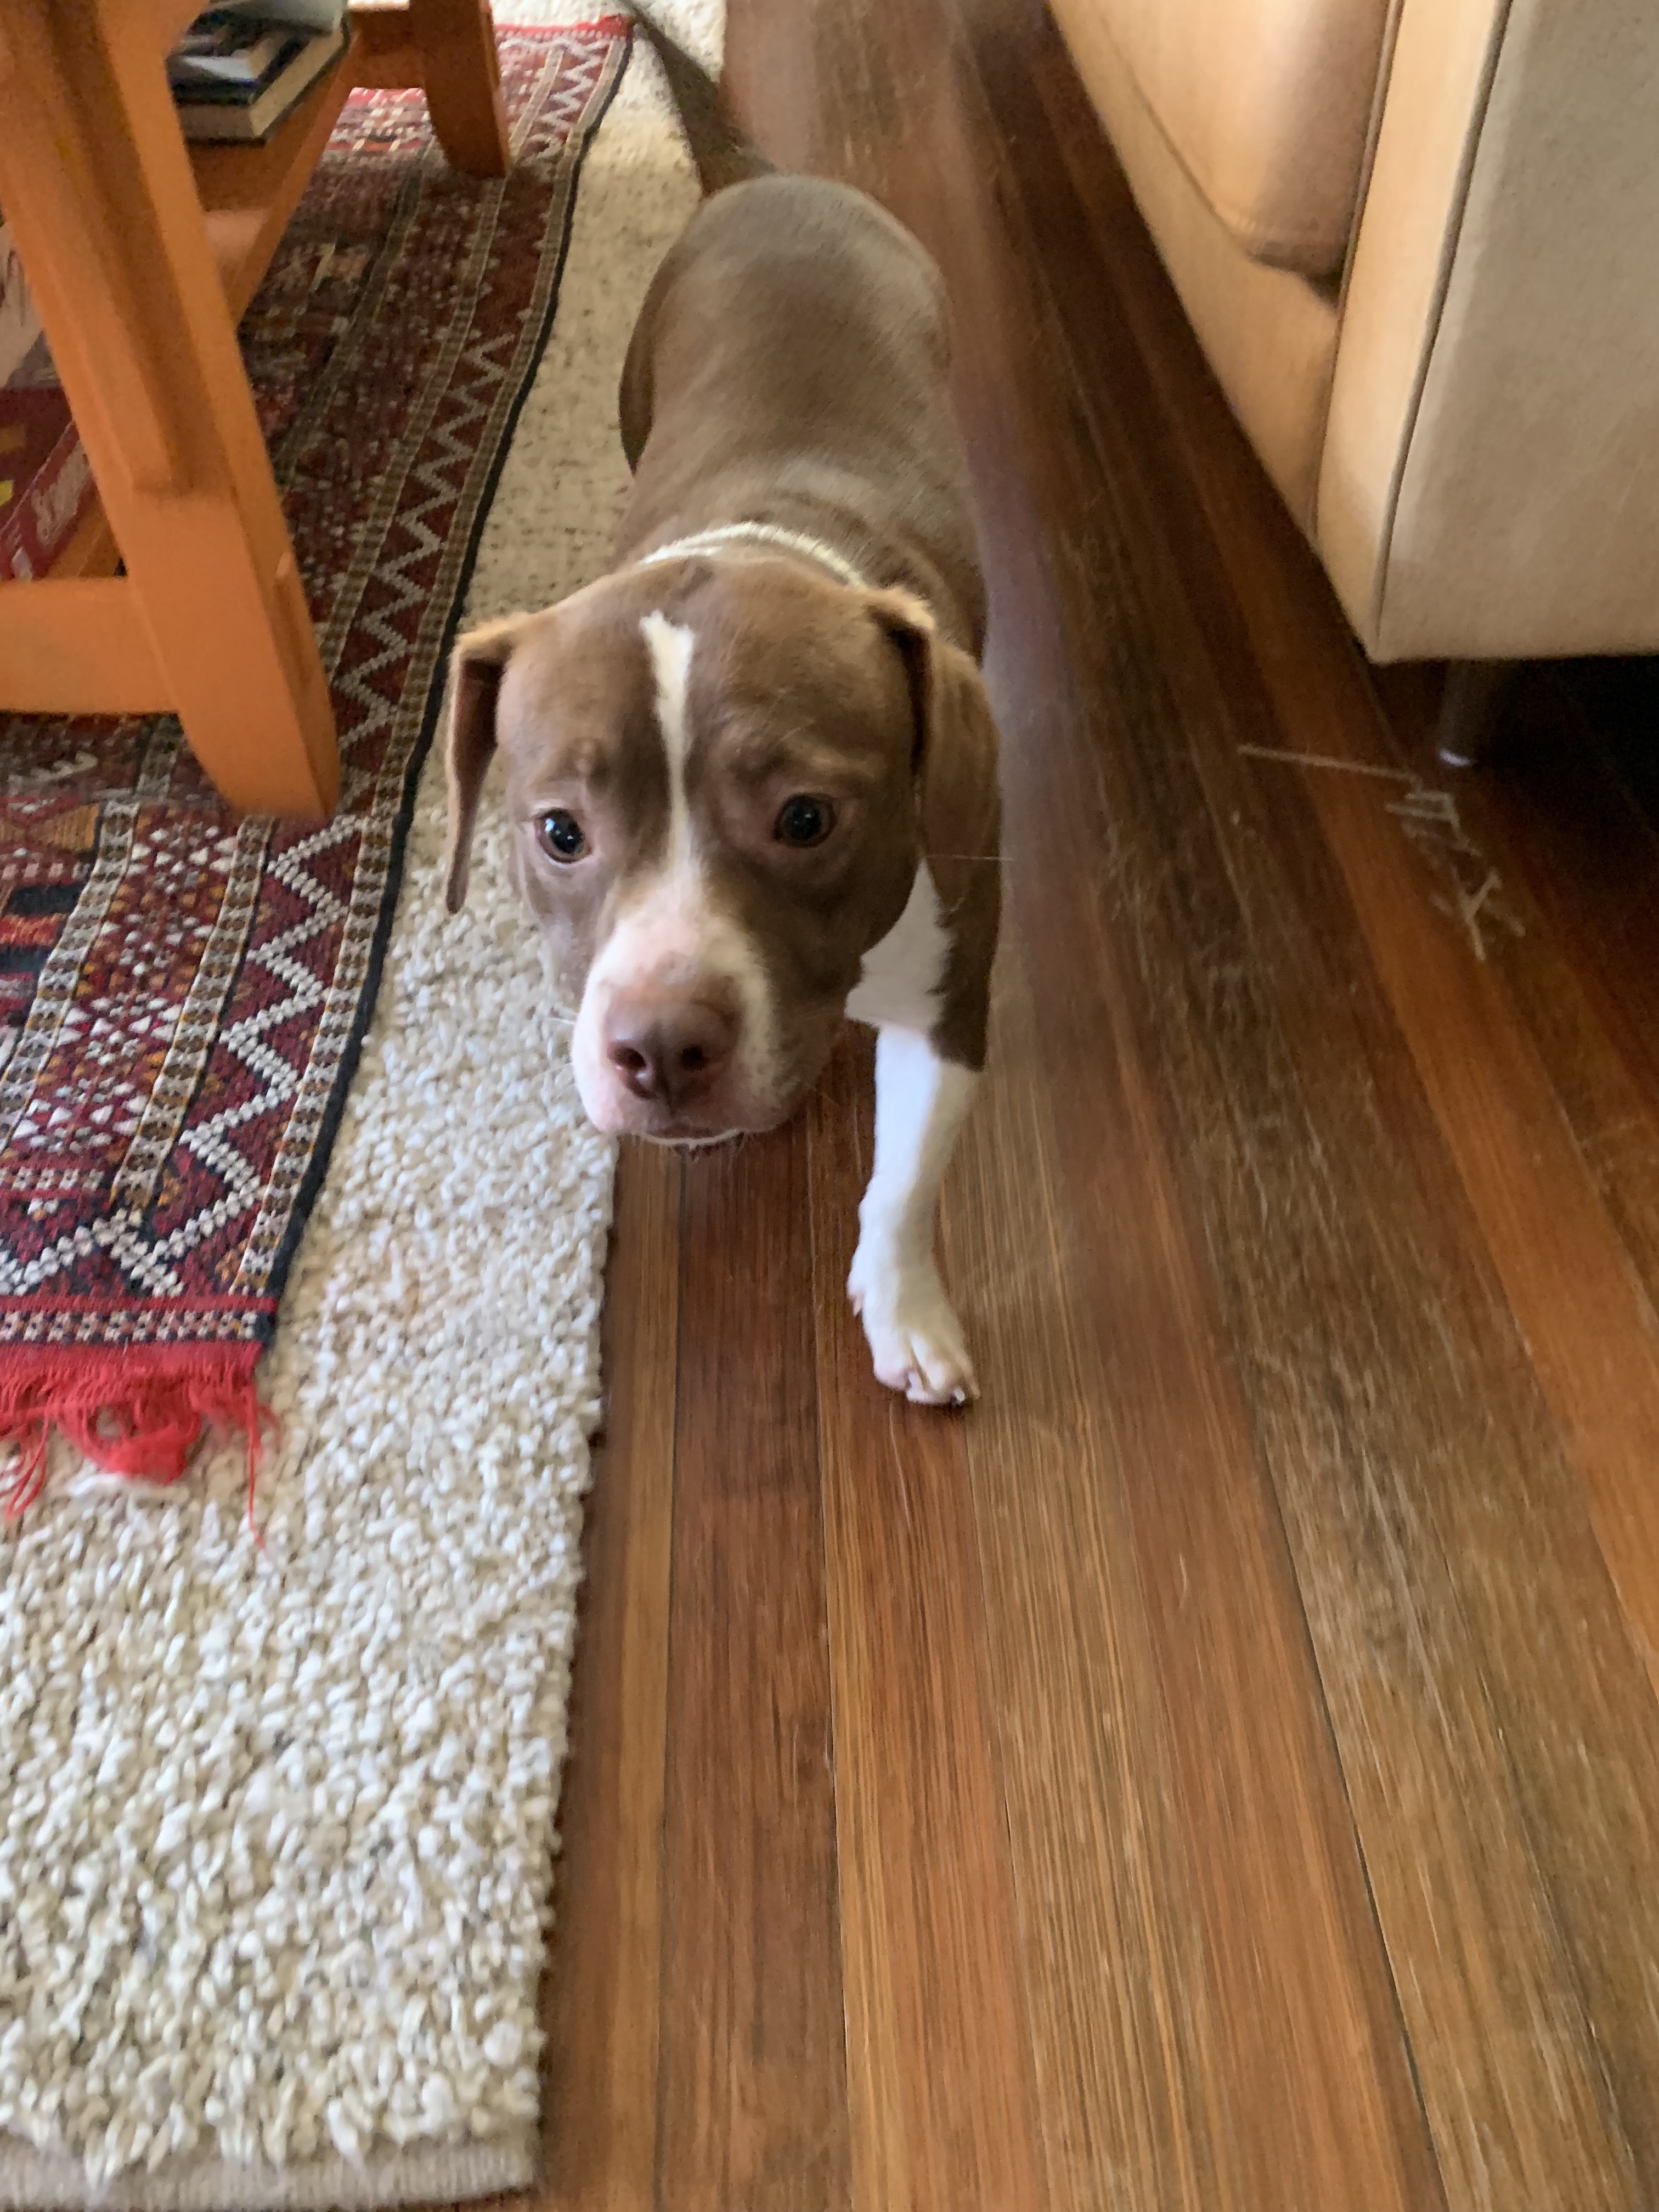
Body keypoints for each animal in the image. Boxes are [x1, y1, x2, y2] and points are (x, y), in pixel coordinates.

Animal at [442, 9, 1001, 1406]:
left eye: (806, 819)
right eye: (560, 833)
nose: (661, 1048)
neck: (765, 538)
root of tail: (766, 181)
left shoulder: (955, 986)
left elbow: (905, 1182)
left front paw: (904, 1309)